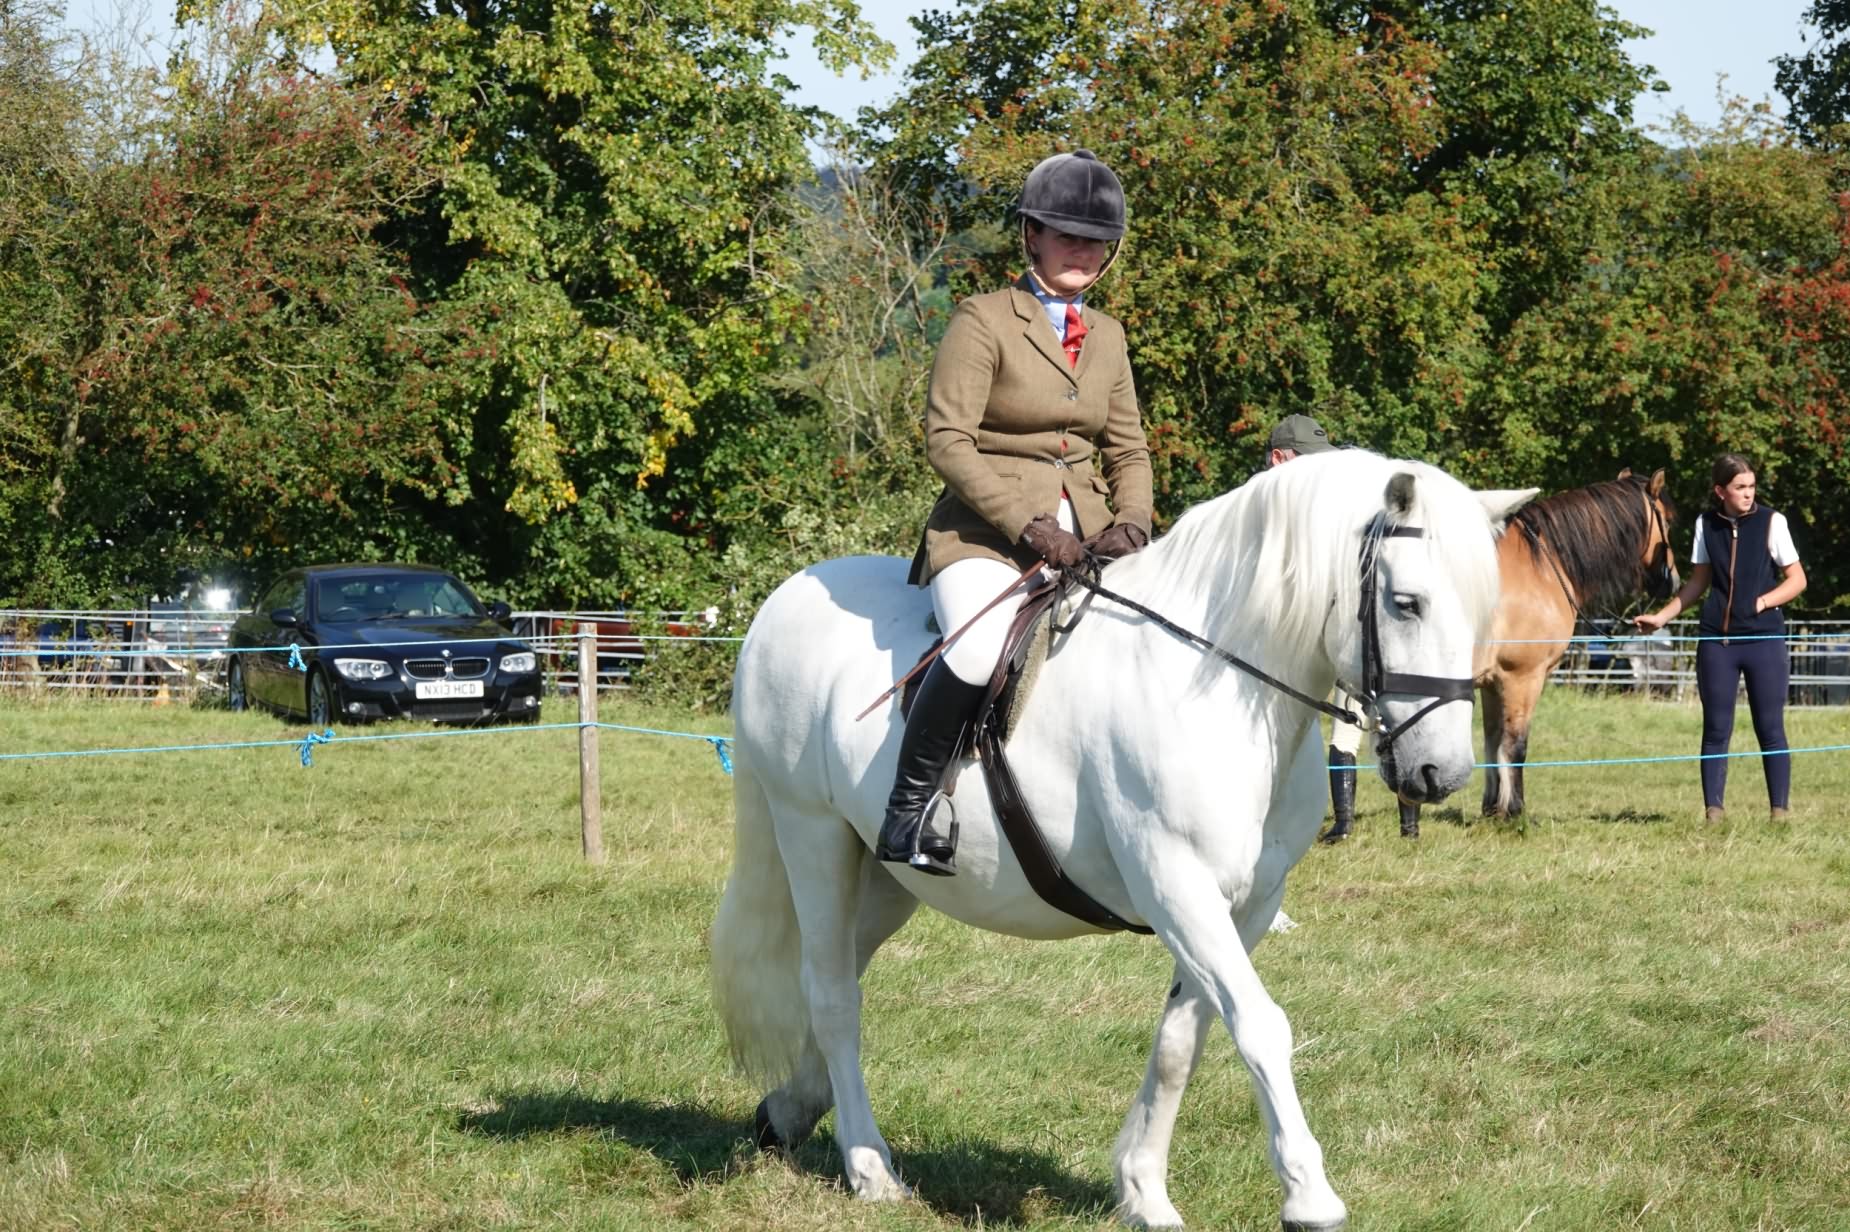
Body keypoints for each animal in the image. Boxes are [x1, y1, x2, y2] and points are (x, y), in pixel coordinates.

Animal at [710, 450, 1534, 1231]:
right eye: (1406, 603)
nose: (1442, 772)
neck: (1220, 683)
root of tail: (786, 599)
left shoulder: (1248, 904)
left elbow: (1182, 1041)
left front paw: (1142, 1190)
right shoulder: (1176, 883)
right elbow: (1259, 1024)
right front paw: (1310, 1197)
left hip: (883, 873)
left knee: (840, 975)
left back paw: (790, 1110)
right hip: (811, 835)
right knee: (831, 994)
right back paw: (869, 1167)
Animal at [1392, 468, 1677, 836]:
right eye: (1668, 520)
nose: (1672, 581)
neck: (1542, 566)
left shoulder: (1492, 683)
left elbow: (1492, 740)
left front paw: (1492, 810)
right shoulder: (1523, 678)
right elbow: (1515, 744)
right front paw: (1514, 813)